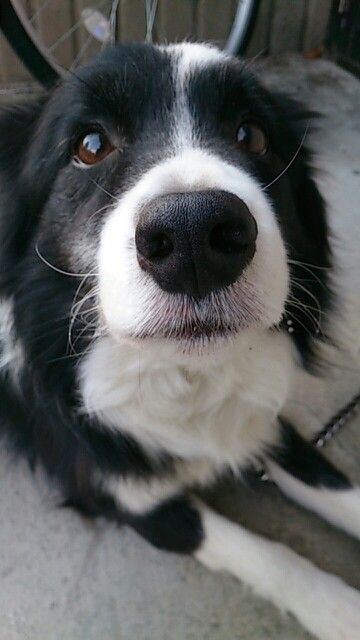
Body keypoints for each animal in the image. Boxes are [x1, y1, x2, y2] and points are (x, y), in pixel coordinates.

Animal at [0, 41, 360, 640]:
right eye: (89, 146)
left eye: (251, 135)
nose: (195, 234)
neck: (183, 376)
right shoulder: (124, 494)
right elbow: (270, 557)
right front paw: (342, 610)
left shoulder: (262, 421)